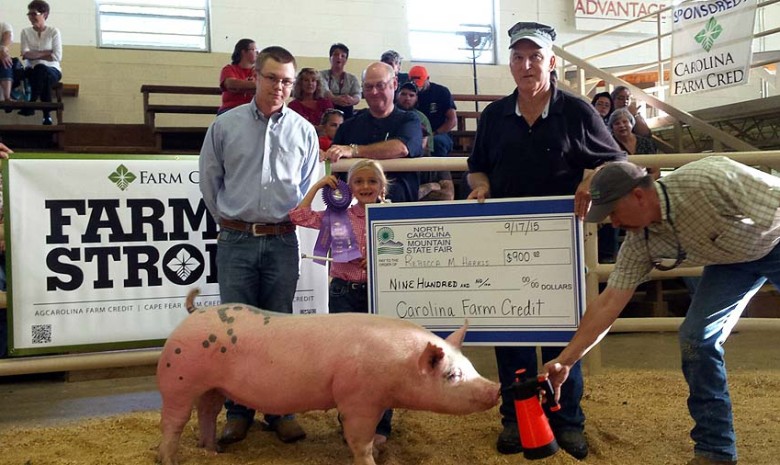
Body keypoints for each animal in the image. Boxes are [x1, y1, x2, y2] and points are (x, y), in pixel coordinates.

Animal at [158, 288, 500, 462]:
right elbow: (359, 441)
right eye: (452, 375)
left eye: (470, 365)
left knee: (207, 411)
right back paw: (170, 459)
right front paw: (368, 459)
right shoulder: (357, 399)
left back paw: (212, 450)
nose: (495, 389)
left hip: (212, 386)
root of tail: (194, 312)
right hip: (178, 379)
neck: (397, 367)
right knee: (173, 422)